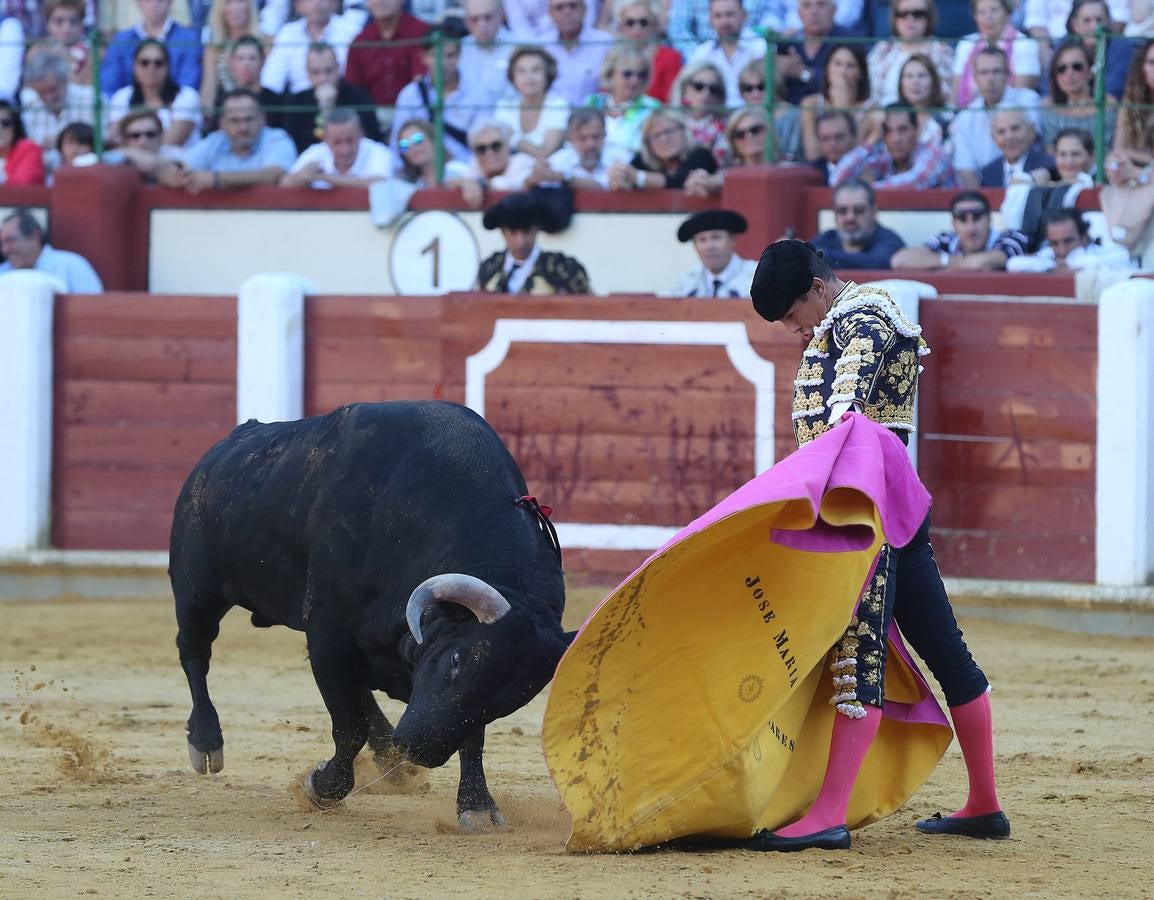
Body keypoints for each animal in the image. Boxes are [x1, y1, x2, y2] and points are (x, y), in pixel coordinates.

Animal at [168, 401, 570, 830]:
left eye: (514, 699)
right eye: (457, 660)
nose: (417, 749)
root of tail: (220, 450)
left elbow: (470, 737)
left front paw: (476, 805)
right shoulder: (329, 637)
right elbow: (348, 727)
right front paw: (321, 788)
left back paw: (394, 765)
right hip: (196, 591)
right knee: (194, 652)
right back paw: (205, 741)